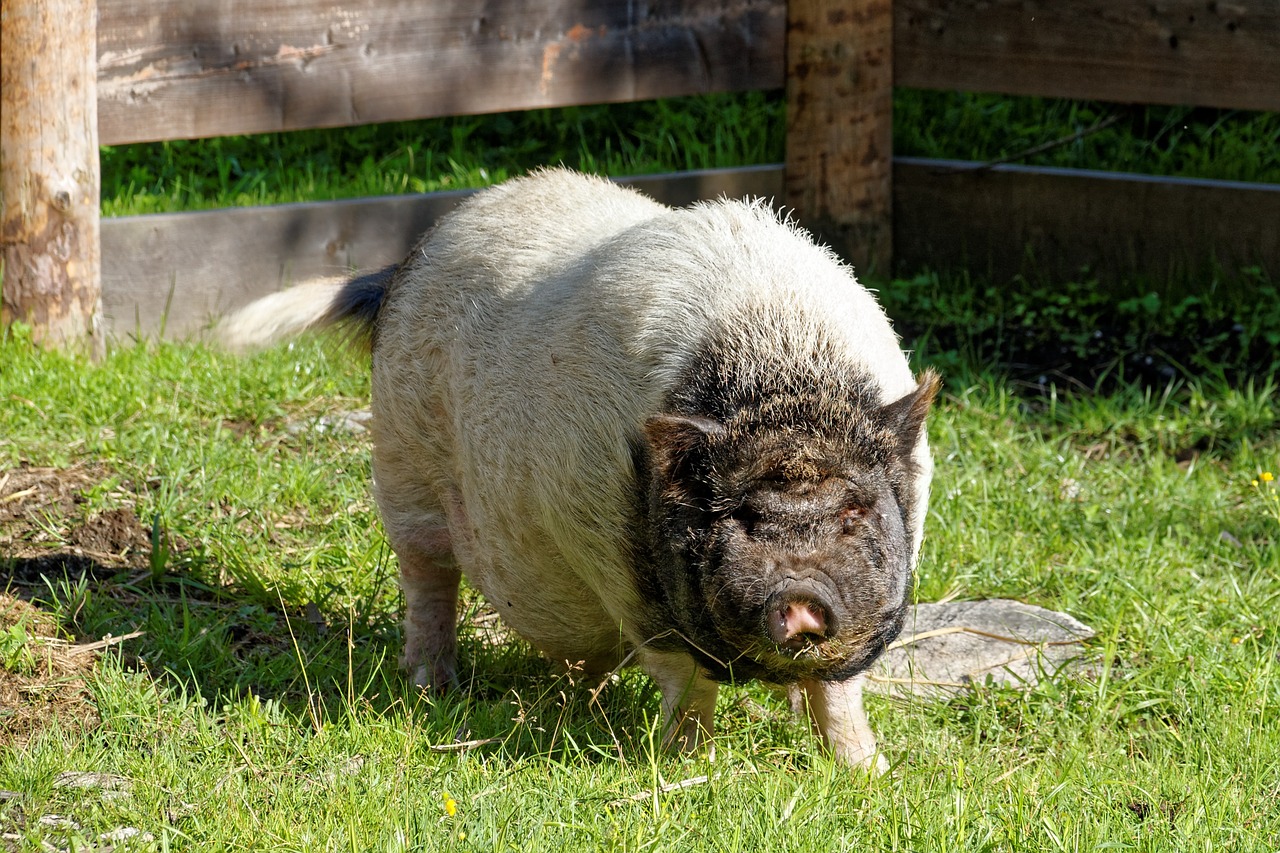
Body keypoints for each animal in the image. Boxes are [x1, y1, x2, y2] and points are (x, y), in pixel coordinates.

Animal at [220, 167, 942, 768]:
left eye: (855, 510)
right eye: (738, 515)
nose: (801, 599)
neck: (779, 378)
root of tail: (406, 264)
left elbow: (840, 693)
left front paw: (869, 771)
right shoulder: (628, 572)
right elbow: (691, 681)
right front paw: (692, 767)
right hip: (402, 458)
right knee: (428, 578)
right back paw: (434, 689)